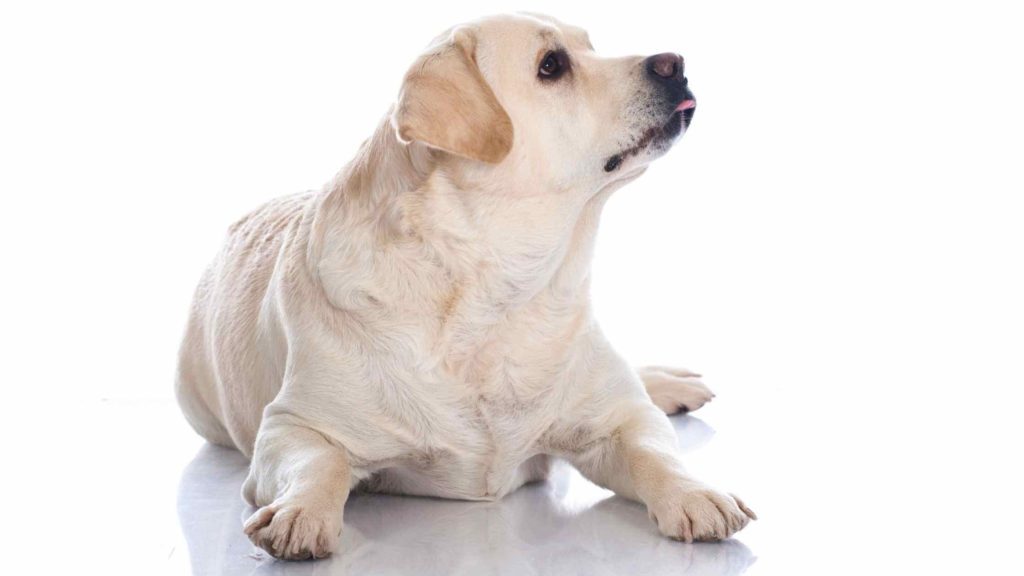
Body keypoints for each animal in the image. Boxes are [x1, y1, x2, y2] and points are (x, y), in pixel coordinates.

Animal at [174, 12, 753, 557]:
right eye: (552, 65)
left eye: (590, 45)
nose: (676, 63)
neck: (497, 290)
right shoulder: (292, 425)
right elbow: (319, 465)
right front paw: (300, 513)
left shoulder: (620, 418)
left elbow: (655, 451)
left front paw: (696, 493)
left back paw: (670, 382)